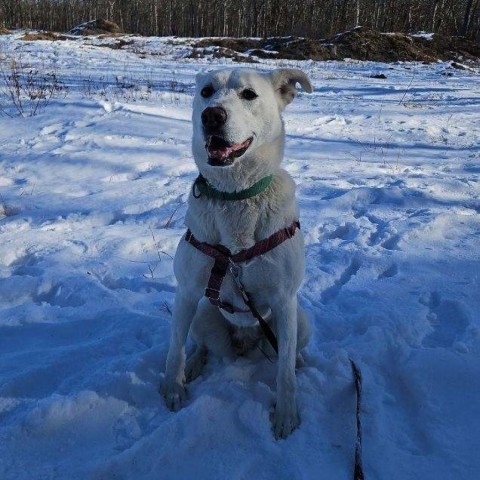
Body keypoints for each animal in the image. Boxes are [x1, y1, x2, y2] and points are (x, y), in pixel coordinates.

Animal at [160, 67, 312, 438]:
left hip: (301, 320)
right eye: (206, 91)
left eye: (248, 94)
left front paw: (285, 415)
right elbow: (174, 350)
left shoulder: (285, 300)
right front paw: (173, 388)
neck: (235, 198)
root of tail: (245, 342)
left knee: (289, 353)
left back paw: (298, 360)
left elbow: (284, 373)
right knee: (199, 345)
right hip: (202, 315)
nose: (212, 116)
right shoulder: (187, 293)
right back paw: (196, 363)